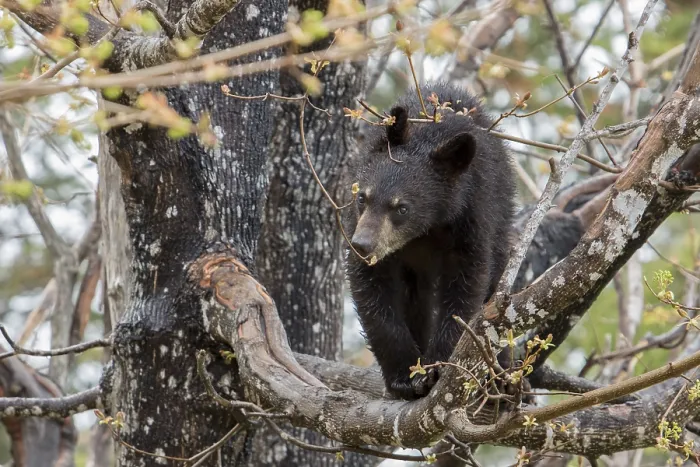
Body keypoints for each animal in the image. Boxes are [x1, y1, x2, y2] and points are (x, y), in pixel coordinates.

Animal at [344, 82, 517, 400]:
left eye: (402, 208)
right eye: (363, 197)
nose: (362, 245)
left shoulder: (472, 217)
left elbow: (467, 287)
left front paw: (437, 368)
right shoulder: (358, 224)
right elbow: (372, 290)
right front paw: (404, 375)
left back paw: (501, 376)